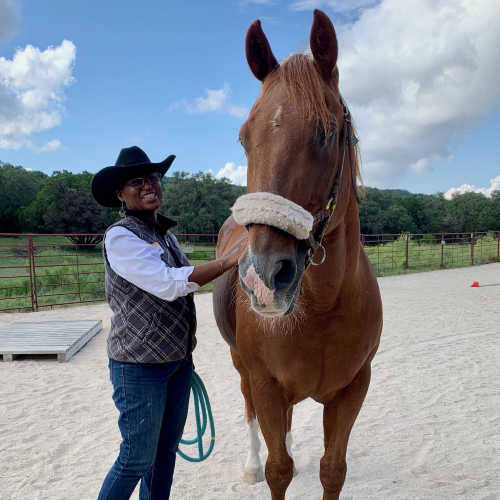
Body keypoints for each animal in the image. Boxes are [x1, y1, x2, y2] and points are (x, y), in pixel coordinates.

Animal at [212, 8, 382, 500]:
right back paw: (250, 463)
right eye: (244, 139)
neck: (323, 307)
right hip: (243, 371)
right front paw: (264, 466)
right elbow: (277, 471)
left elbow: (332, 470)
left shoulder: (353, 390)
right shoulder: (266, 384)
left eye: (327, 132)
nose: (264, 279)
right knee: (251, 415)